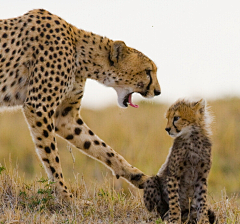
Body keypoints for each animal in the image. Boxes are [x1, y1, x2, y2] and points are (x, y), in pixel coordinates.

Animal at [0, 9, 161, 200]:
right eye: (148, 72)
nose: (158, 91)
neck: (81, 54)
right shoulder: (38, 107)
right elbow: (52, 157)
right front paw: (65, 197)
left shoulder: (65, 118)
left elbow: (101, 147)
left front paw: (138, 176)